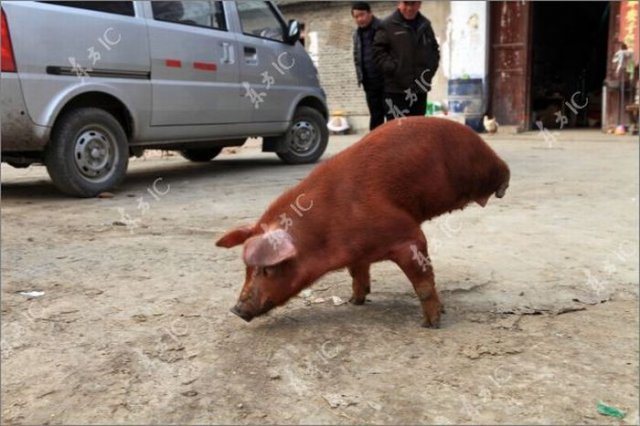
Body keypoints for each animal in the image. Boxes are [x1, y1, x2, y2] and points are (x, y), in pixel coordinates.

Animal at [215, 118, 510, 328]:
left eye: (268, 269)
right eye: (246, 268)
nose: (236, 310)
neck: (326, 233)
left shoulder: (407, 235)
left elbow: (424, 282)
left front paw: (431, 324)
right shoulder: (357, 255)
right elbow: (357, 274)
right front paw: (354, 302)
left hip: (484, 168)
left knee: (503, 173)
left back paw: (502, 188)